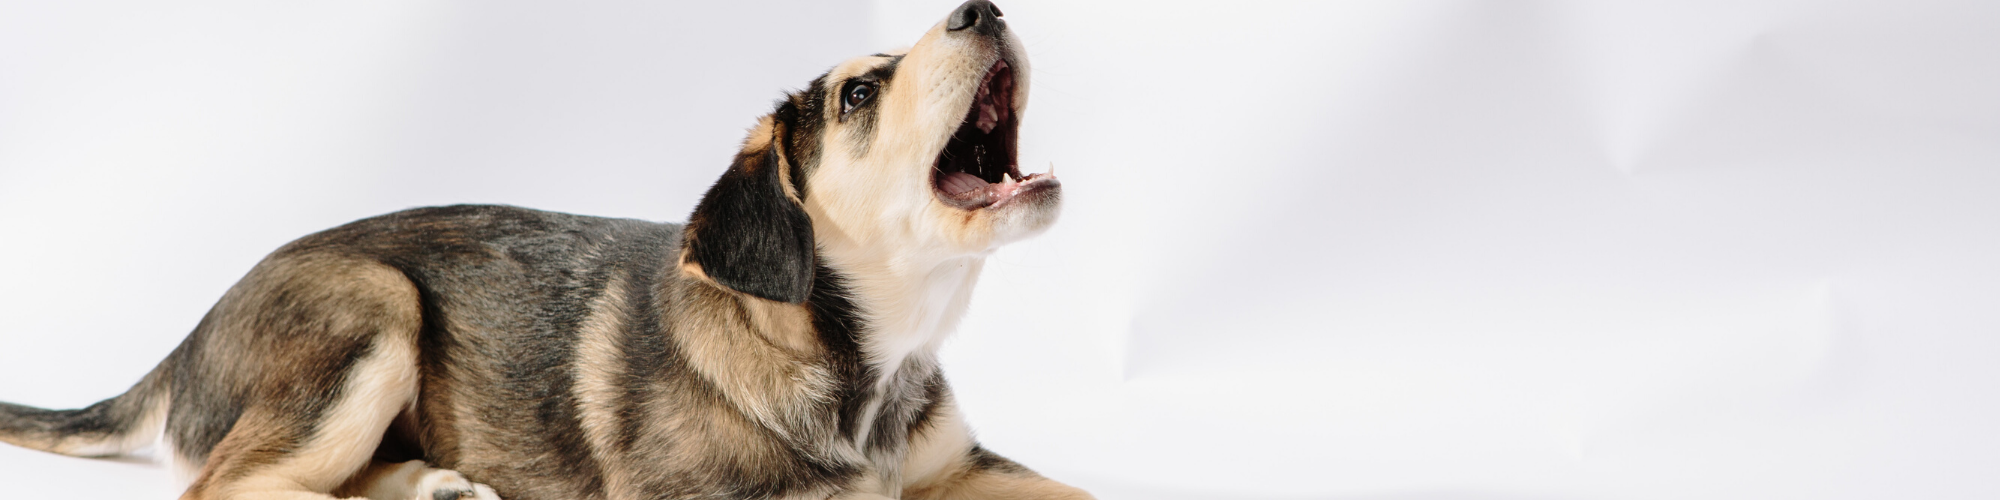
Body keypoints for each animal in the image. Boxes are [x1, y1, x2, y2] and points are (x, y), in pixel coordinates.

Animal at [3, 1, 1096, 498]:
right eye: (860, 93)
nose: (983, 7)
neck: (871, 366)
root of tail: (187, 340)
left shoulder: (962, 467)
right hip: (369, 304)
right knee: (230, 483)